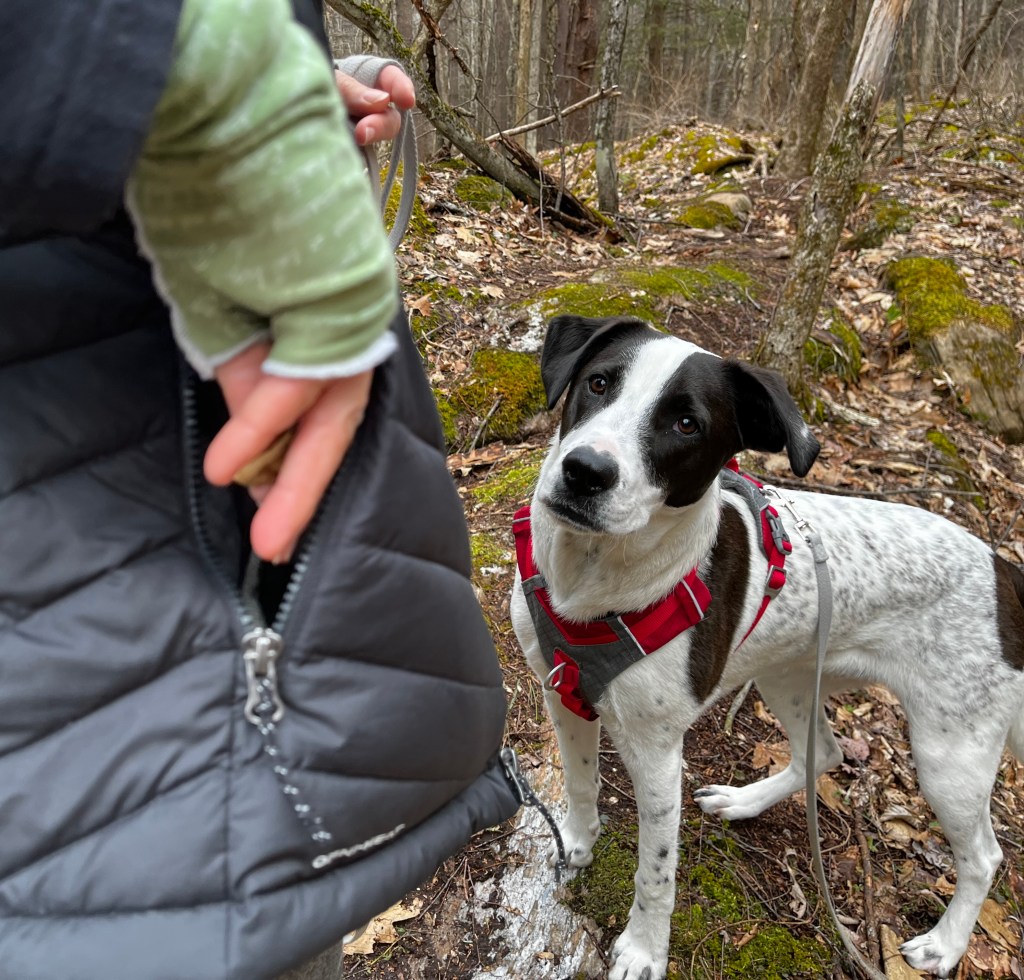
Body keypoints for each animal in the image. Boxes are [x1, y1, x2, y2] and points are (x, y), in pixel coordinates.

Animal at [510, 314, 1024, 980]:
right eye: (599, 382)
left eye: (687, 424)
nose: (585, 471)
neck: (592, 587)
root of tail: (1003, 568)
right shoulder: (563, 695)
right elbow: (579, 782)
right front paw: (576, 841)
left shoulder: (657, 752)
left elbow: (657, 872)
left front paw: (644, 950)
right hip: (791, 677)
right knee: (825, 752)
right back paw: (745, 801)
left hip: (950, 754)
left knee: (985, 856)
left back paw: (946, 944)